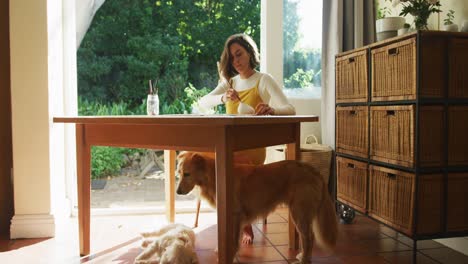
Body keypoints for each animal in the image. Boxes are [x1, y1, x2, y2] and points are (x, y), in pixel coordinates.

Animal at [176, 152, 336, 262]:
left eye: (187, 174)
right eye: (179, 174)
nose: (177, 191)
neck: (212, 175)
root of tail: (313, 170)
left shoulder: (234, 215)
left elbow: (233, 241)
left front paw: (229, 256)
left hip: (299, 212)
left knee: (308, 237)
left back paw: (304, 259)